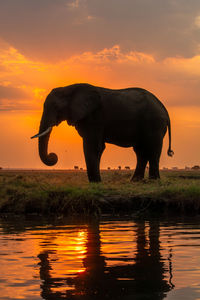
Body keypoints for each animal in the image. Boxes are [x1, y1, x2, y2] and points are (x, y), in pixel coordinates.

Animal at [31, 84, 173, 183]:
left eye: (56, 107)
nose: (53, 156)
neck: (70, 88)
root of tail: (164, 109)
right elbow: (99, 147)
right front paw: (96, 182)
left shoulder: (94, 117)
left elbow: (93, 146)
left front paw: (95, 182)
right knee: (140, 151)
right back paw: (135, 181)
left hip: (154, 123)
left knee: (152, 149)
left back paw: (153, 181)